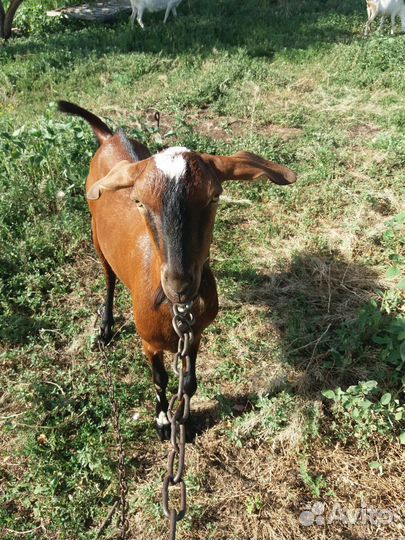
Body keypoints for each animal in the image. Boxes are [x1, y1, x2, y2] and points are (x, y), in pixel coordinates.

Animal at [57, 100, 296, 438]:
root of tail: (111, 137)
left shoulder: (195, 335)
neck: (176, 310)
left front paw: (185, 418)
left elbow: (189, 382)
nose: (179, 285)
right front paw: (162, 421)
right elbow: (160, 379)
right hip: (96, 236)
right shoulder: (148, 343)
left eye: (214, 196)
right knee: (108, 278)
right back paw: (105, 328)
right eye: (138, 201)